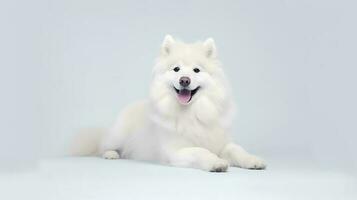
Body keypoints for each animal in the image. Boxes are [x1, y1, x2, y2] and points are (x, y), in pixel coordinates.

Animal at [71, 34, 266, 172]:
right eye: (176, 69)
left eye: (196, 70)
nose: (184, 80)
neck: (193, 113)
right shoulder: (177, 151)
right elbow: (201, 151)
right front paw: (216, 162)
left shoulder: (221, 142)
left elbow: (236, 149)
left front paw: (253, 160)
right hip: (117, 135)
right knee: (103, 146)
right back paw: (111, 154)